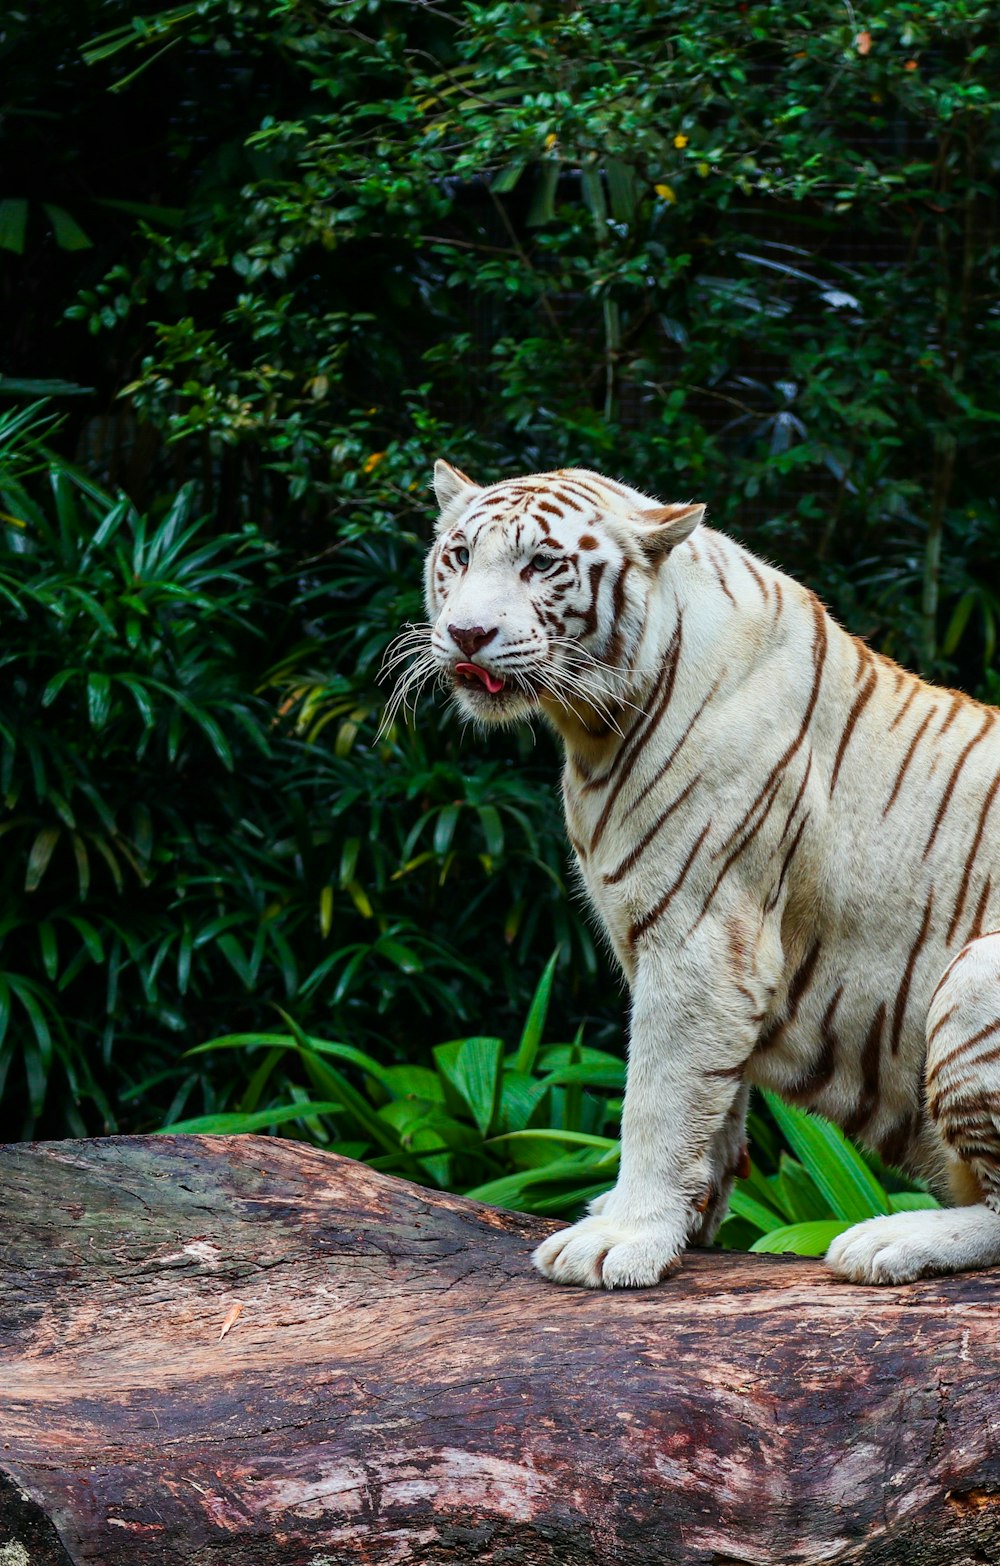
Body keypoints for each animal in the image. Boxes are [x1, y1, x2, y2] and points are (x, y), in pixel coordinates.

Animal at [403, 457, 1000, 1290]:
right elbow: (713, 1102)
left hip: (976, 975)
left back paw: (888, 1241)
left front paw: (619, 1238)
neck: (594, 729)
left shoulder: (701, 938)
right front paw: (685, 1224)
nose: (466, 633)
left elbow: (658, 1097)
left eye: (542, 564)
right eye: (458, 557)